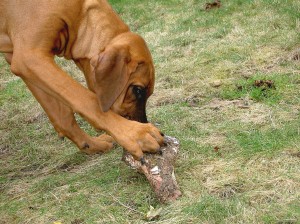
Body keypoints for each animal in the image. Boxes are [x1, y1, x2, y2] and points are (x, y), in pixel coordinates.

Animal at [0, 0, 164, 161]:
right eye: (137, 90)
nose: (142, 121)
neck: (80, 15)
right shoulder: (29, 57)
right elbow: (88, 101)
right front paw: (135, 134)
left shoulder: (18, 58)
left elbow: (63, 117)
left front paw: (91, 145)